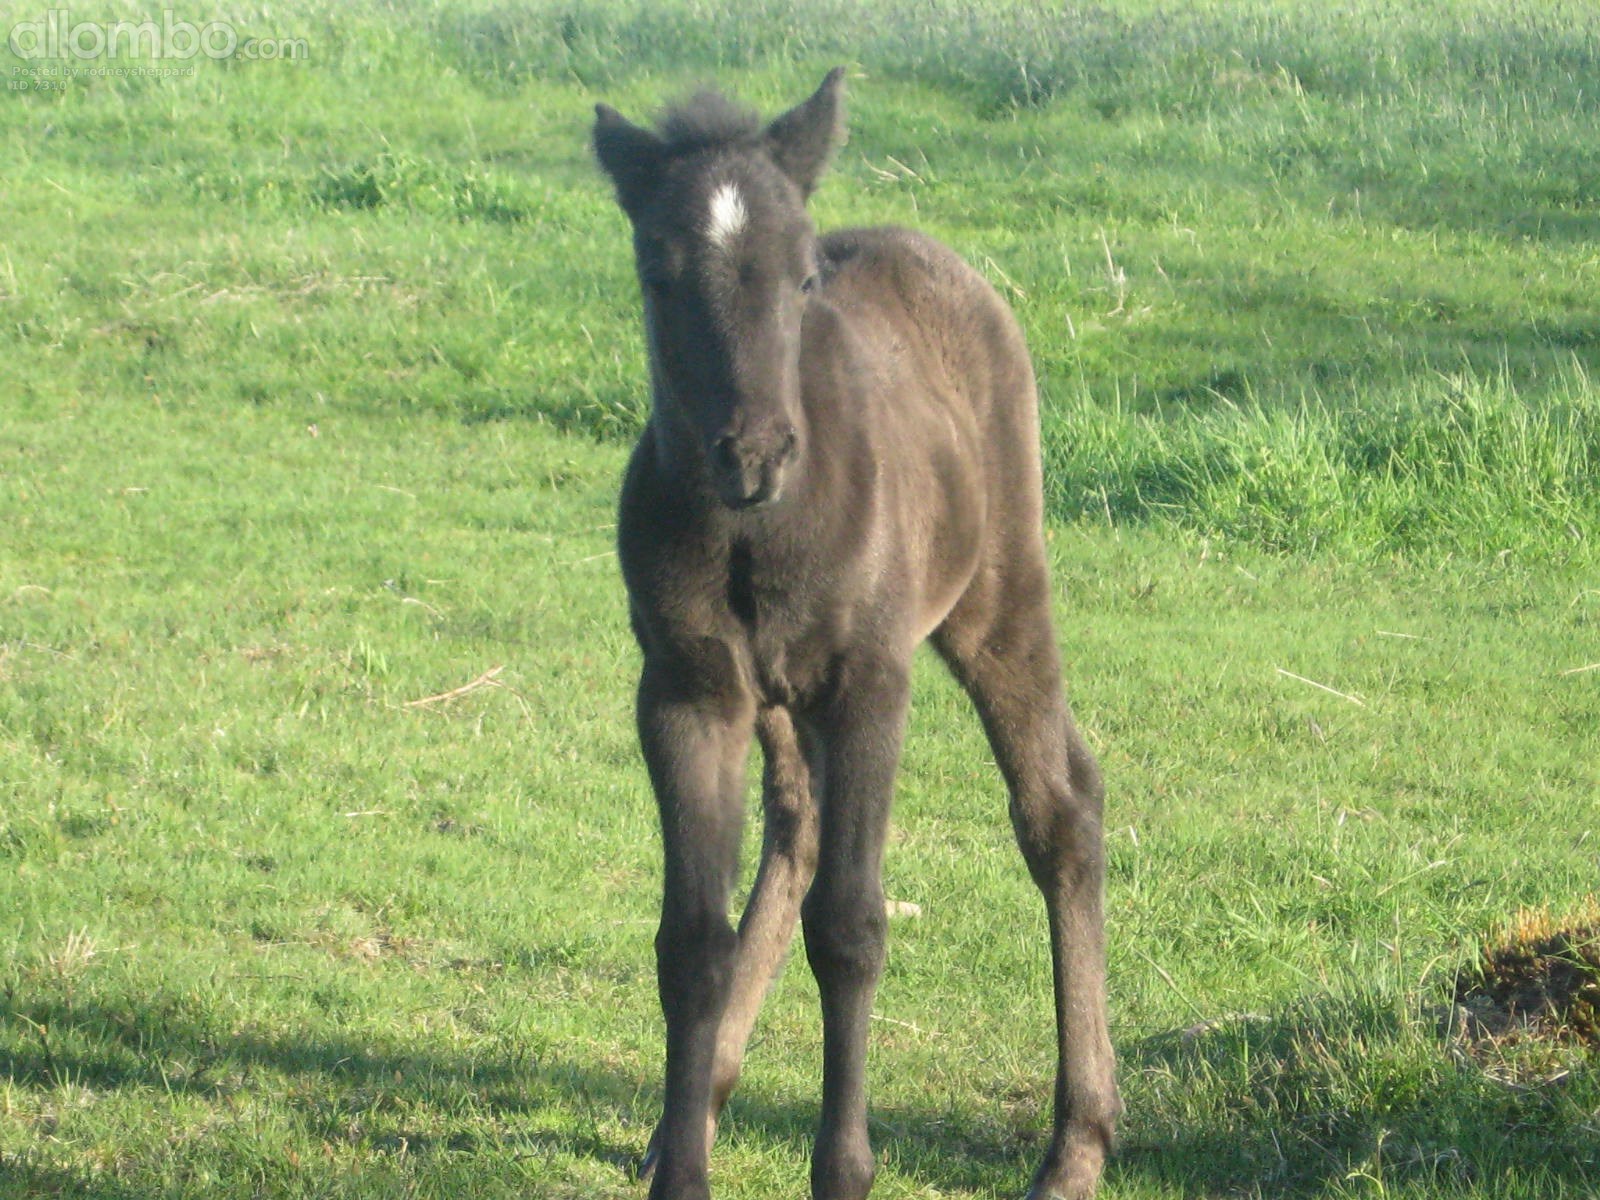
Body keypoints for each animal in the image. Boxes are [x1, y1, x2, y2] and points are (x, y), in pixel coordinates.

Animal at [592, 68, 1120, 1200]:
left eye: (800, 280)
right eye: (658, 275)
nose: (752, 452)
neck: (757, 531)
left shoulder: (870, 681)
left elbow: (851, 928)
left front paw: (842, 1170)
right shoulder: (687, 691)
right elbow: (689, 941)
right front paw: (681, 1171)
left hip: (996, 594)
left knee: (1060, 805)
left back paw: (1075, 1148)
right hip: (780, 695)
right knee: (795, 828)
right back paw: (700, 1104)